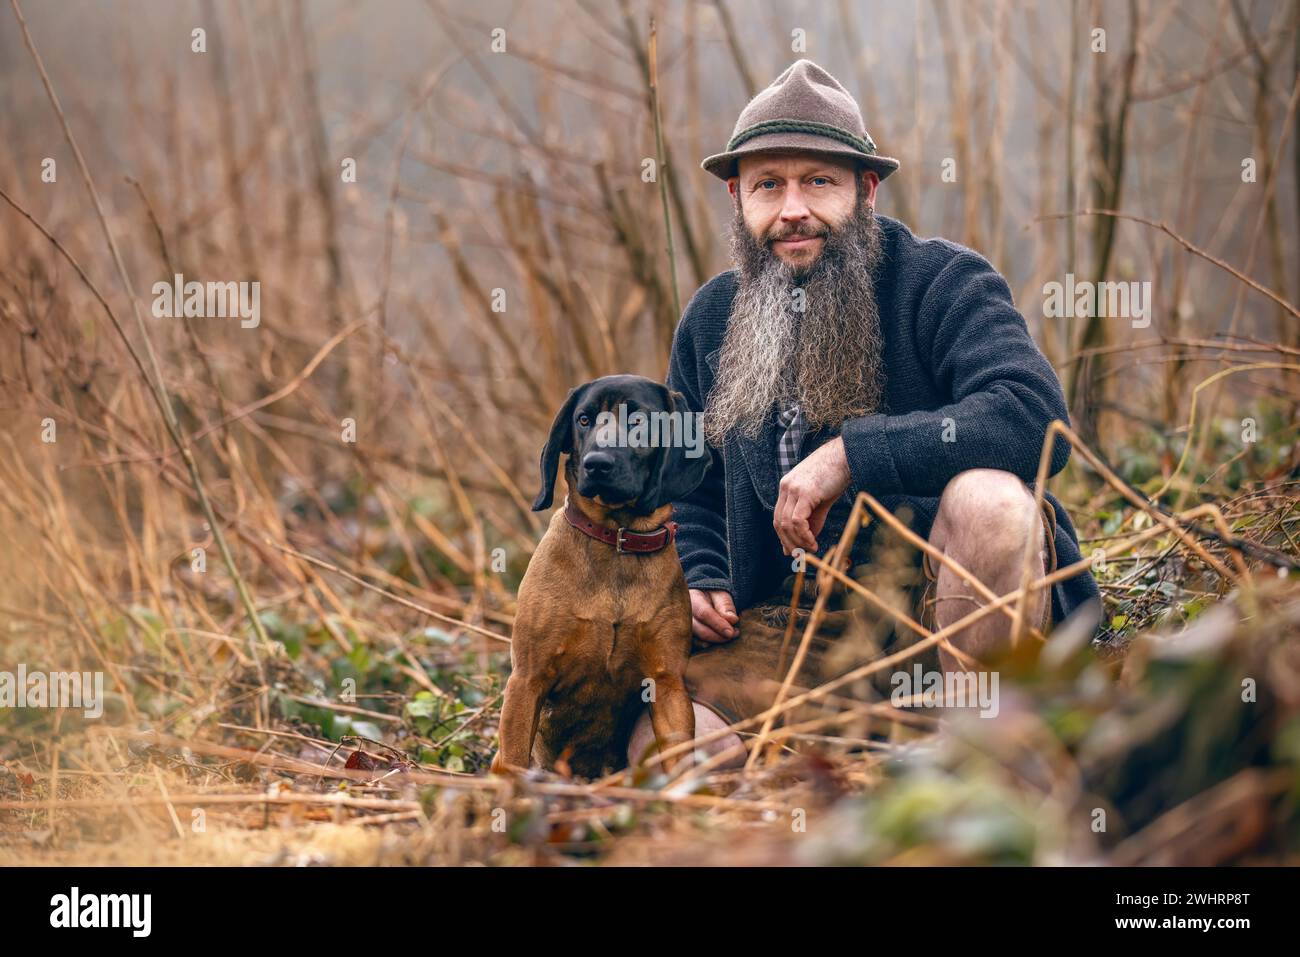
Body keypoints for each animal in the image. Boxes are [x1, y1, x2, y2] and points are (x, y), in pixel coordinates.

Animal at [491, 374, 712, 780]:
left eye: (639, 420)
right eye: (583, 419)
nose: (597, 463)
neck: (617, 539)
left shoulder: (667, 684)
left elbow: (680, 760)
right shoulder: (527, 679)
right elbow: (513, 757)